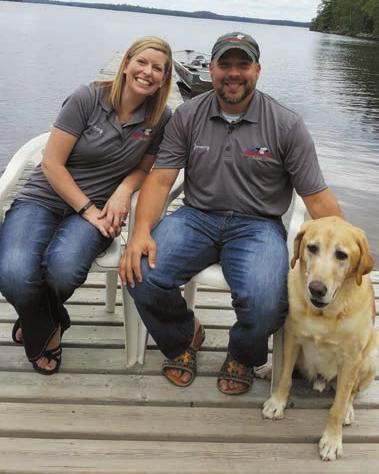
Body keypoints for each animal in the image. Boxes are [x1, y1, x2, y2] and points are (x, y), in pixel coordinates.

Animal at [262, 218, 378, 460]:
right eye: (312, 248)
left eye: (341, 255)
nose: (316, 289)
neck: (324, 314)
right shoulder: (292, 337)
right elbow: (284, 378)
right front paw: (277, 403)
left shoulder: (351, 359)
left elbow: (338, 405)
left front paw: (332, 440)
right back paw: (268, 369)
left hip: (371, 356)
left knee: (351, 393)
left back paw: (348, 411)